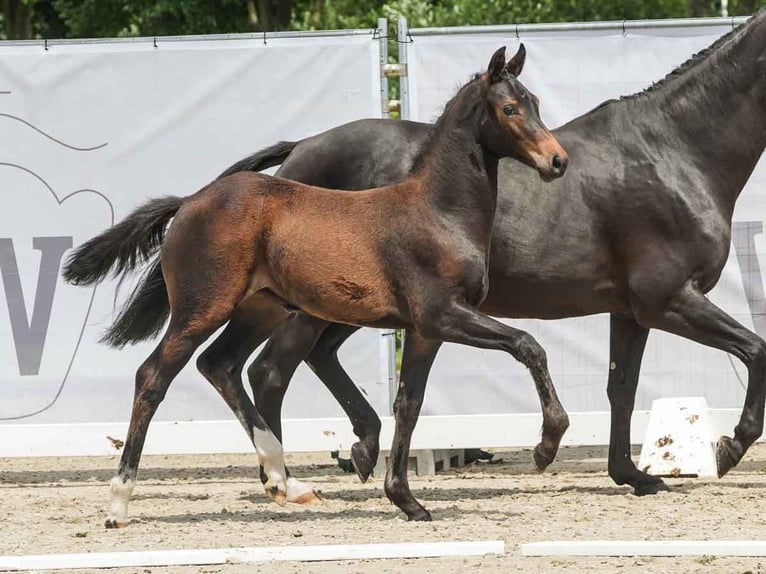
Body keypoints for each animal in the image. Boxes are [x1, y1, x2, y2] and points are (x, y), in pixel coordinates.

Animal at [64, 47, 568, 528]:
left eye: (536, 104)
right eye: (509, 108)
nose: (558, 161)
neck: (439, 213)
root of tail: (189, 201)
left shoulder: (426, 331)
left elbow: (409, 404)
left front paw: (406, 501)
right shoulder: (442, 314)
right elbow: (529, 345)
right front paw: (546, 446)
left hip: (260, 308)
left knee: (220, 365)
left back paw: (284, 479)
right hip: (202, 308)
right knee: (154, 376)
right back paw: (119, 504)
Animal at [140, 11, 766, 520]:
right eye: (511, 108)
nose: (555, 162)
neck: (673, 151)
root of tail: (298, 153)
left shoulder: (632, 310)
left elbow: (622, 386)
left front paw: (633, 475)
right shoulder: (669, 298)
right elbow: (755, 350)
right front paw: (729, 447)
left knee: (272, 364)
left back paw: (345, 454)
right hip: (307, 307)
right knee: (269, 369)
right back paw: (295, 477)